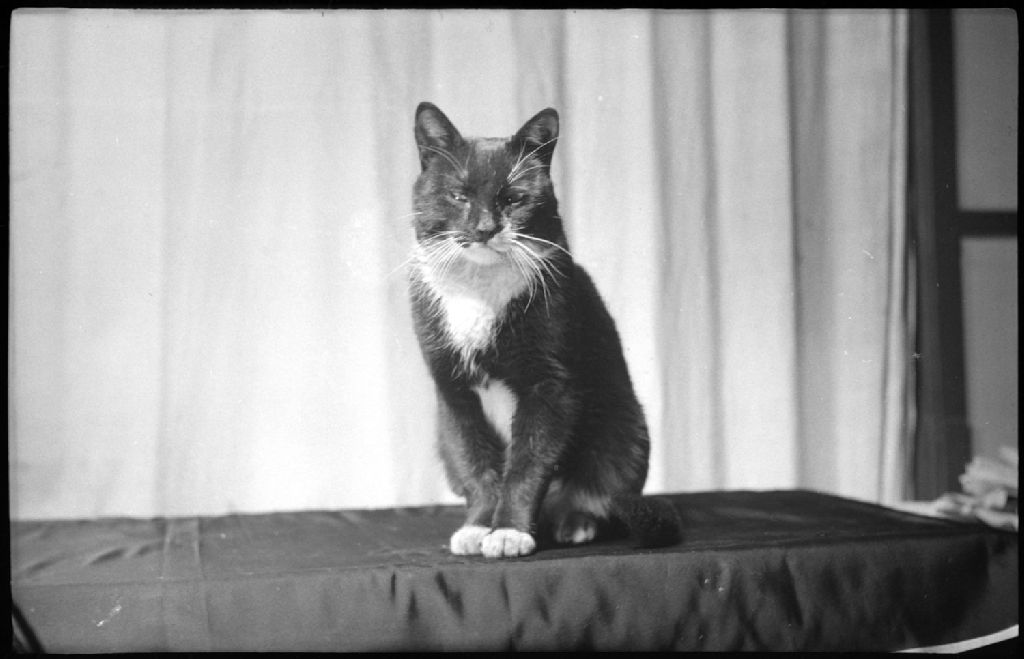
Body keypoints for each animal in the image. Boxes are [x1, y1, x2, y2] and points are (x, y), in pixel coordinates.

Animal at [407, 102, 681, 558]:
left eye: (514, 198)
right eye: (459, 195)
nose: (485, 229)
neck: (479, 289)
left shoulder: (549, 383)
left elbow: (528, 462)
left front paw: (508, 532)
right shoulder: (452, 389)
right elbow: (475, 461)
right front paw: (479, 525)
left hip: (625, 429)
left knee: (597, 490)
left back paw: (576, 523)